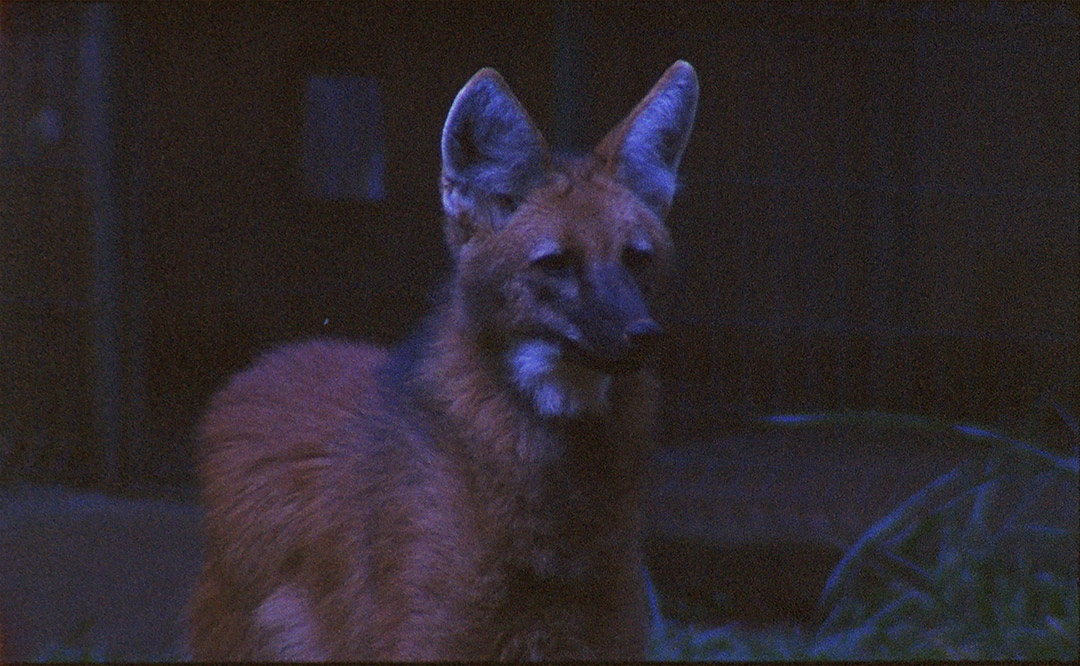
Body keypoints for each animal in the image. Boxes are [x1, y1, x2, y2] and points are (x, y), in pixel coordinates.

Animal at [187, 60, 699, 660]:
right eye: (556, 263)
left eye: (637, 258)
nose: (643, 335)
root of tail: (259, 369)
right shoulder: (433, 636)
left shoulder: (603, 636)